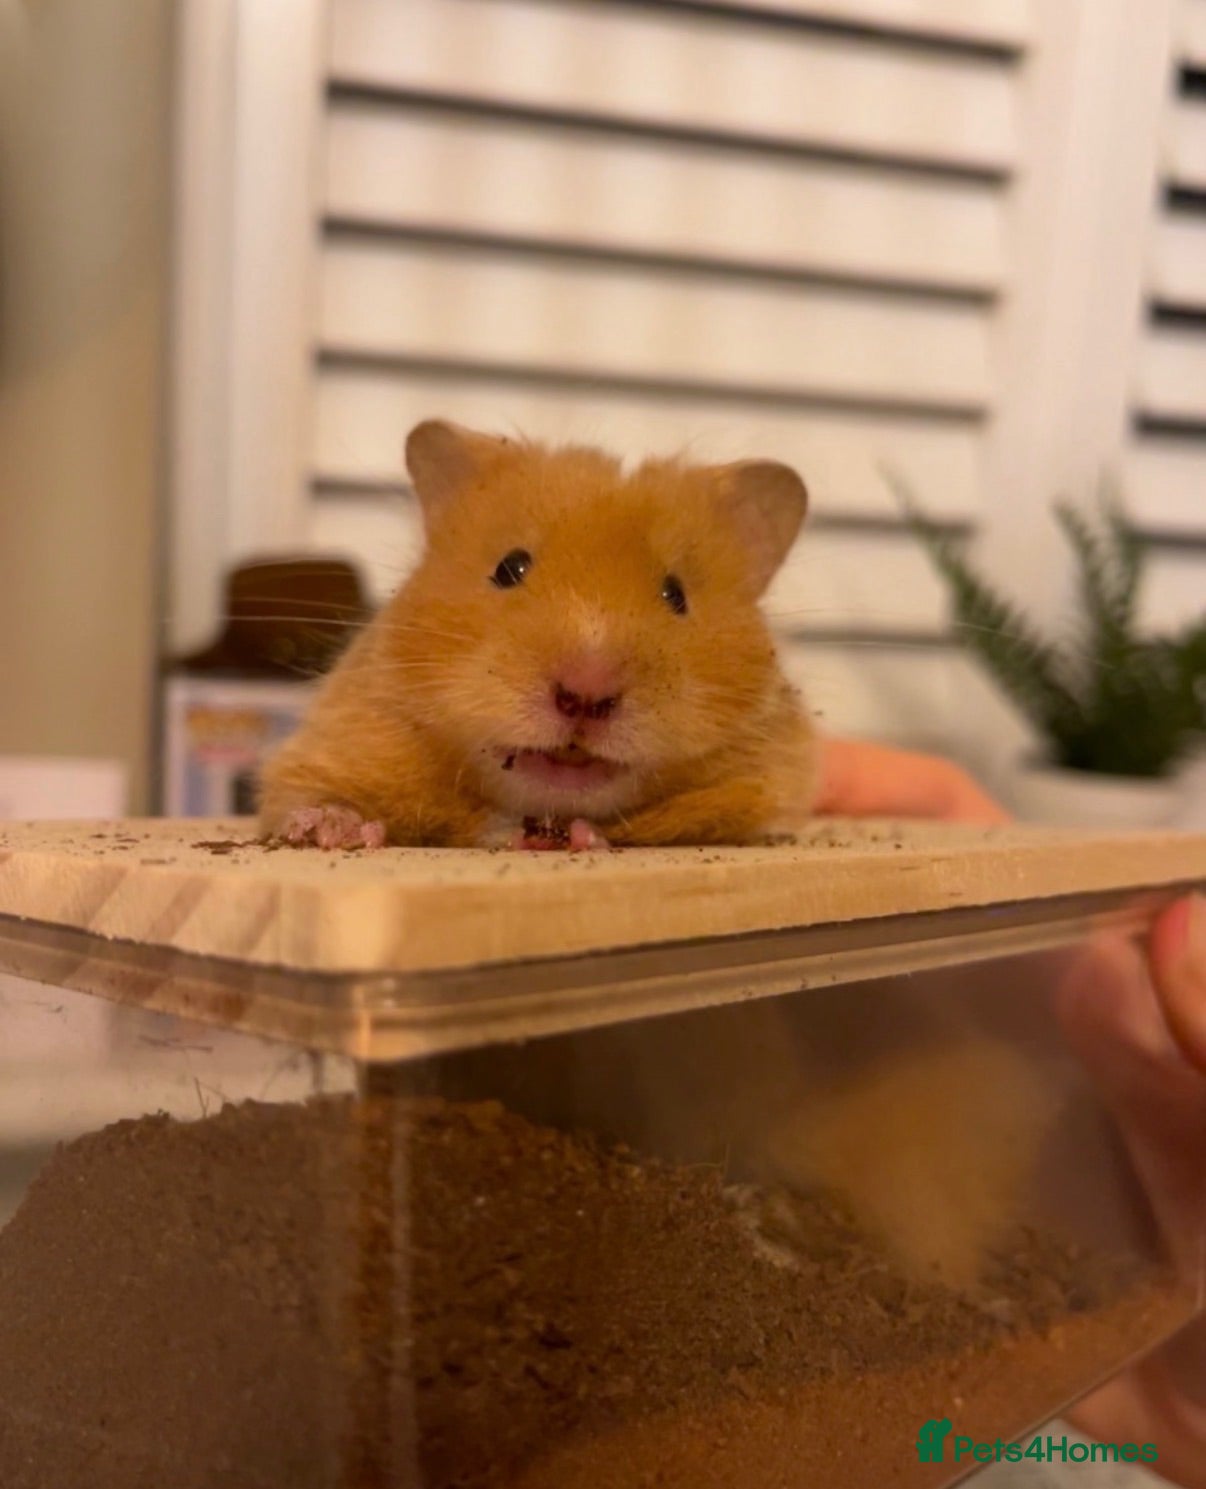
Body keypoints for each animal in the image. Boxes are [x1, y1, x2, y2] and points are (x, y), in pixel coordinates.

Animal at [257, 420, 817, 849]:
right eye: (509, 568)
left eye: (676, 595)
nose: (586, 693)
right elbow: (307, 797)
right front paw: (334, 830)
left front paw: (586, 837)